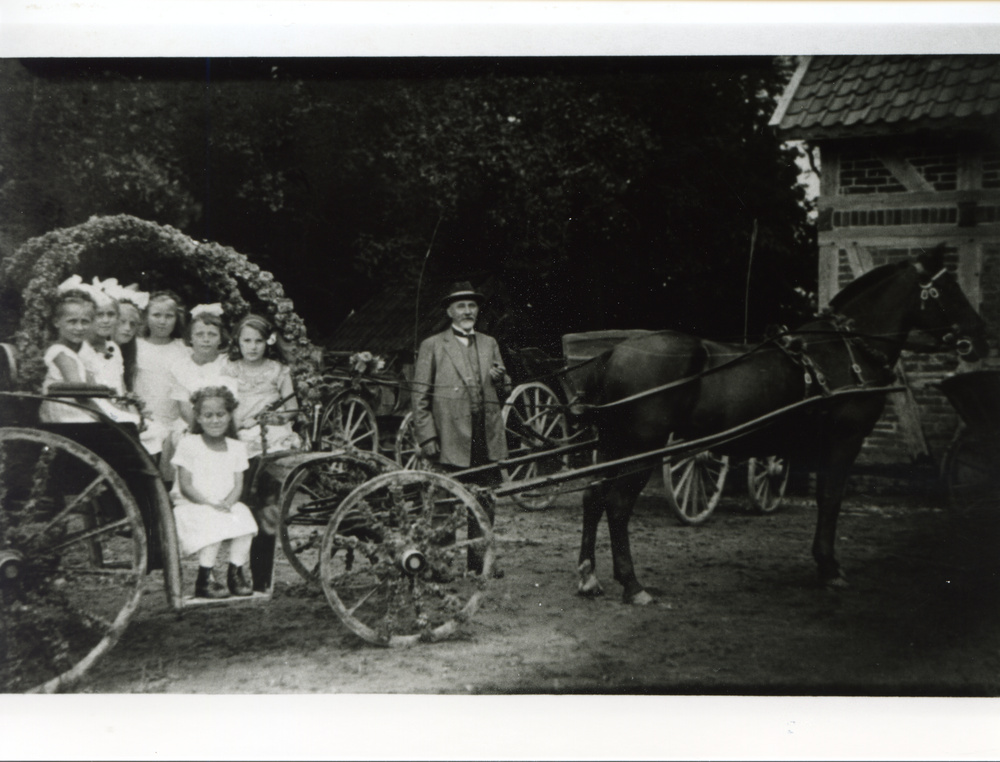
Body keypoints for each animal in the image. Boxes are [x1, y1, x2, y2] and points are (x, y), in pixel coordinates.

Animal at [576, 246, 988, 604]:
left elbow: (825, 498)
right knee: (617, 504)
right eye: (948, 288)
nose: (980, 335)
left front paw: (824, 563)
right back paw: (633, 585)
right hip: (641, 448)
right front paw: (829, 568)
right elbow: (832, 498)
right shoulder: (845, 440)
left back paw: (588, 577)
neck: (847, 350)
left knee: (593, 496)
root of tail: (614, 352)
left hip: (613, 445)